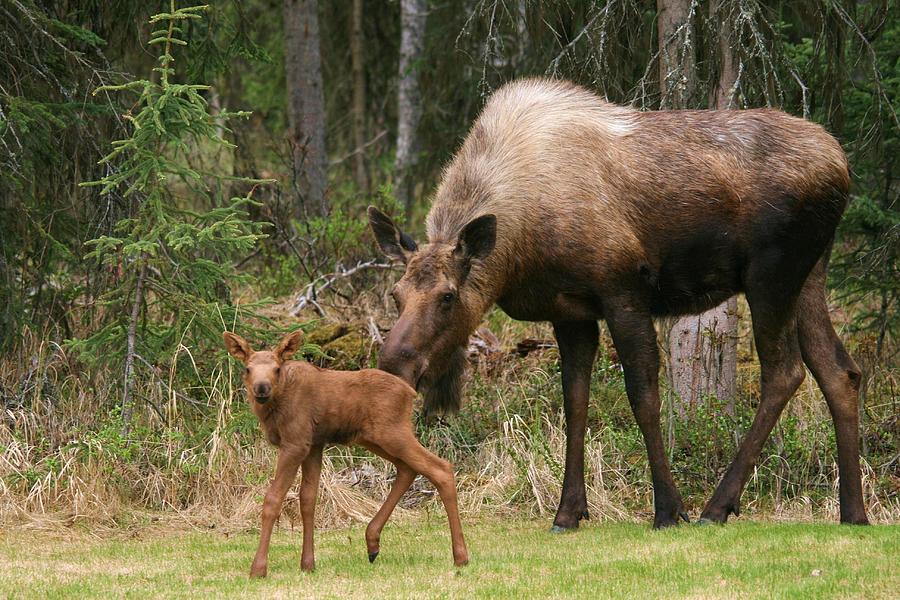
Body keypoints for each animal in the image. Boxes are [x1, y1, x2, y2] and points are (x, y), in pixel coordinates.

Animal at [223, 330, 472, 580]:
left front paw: (258, 568)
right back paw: (372, 543)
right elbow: (308, 500)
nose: (261, 388)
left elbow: (273, 499)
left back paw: (460, 556)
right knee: (408, 469)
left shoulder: (295, 443)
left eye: (276, 369)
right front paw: (308, 564)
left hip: (392, 433)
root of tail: (409, 392)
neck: (274, 409)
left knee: (440, 468)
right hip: (373, 439)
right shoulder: (314, 444)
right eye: (248, 368)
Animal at [370, 78, 868, 528]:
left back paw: (715, 507)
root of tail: (843, 164)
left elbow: (643, 397)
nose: (394, 363)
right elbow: (575, 403)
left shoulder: (623, 290)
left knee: (785, 371)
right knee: (839, 370)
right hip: (810, 274)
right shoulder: (570, 312)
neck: (520, 252)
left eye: (448, 297)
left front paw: (668, 510)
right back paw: (853, 512)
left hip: (770, 275)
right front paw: (568, 512)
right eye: (396, 295)